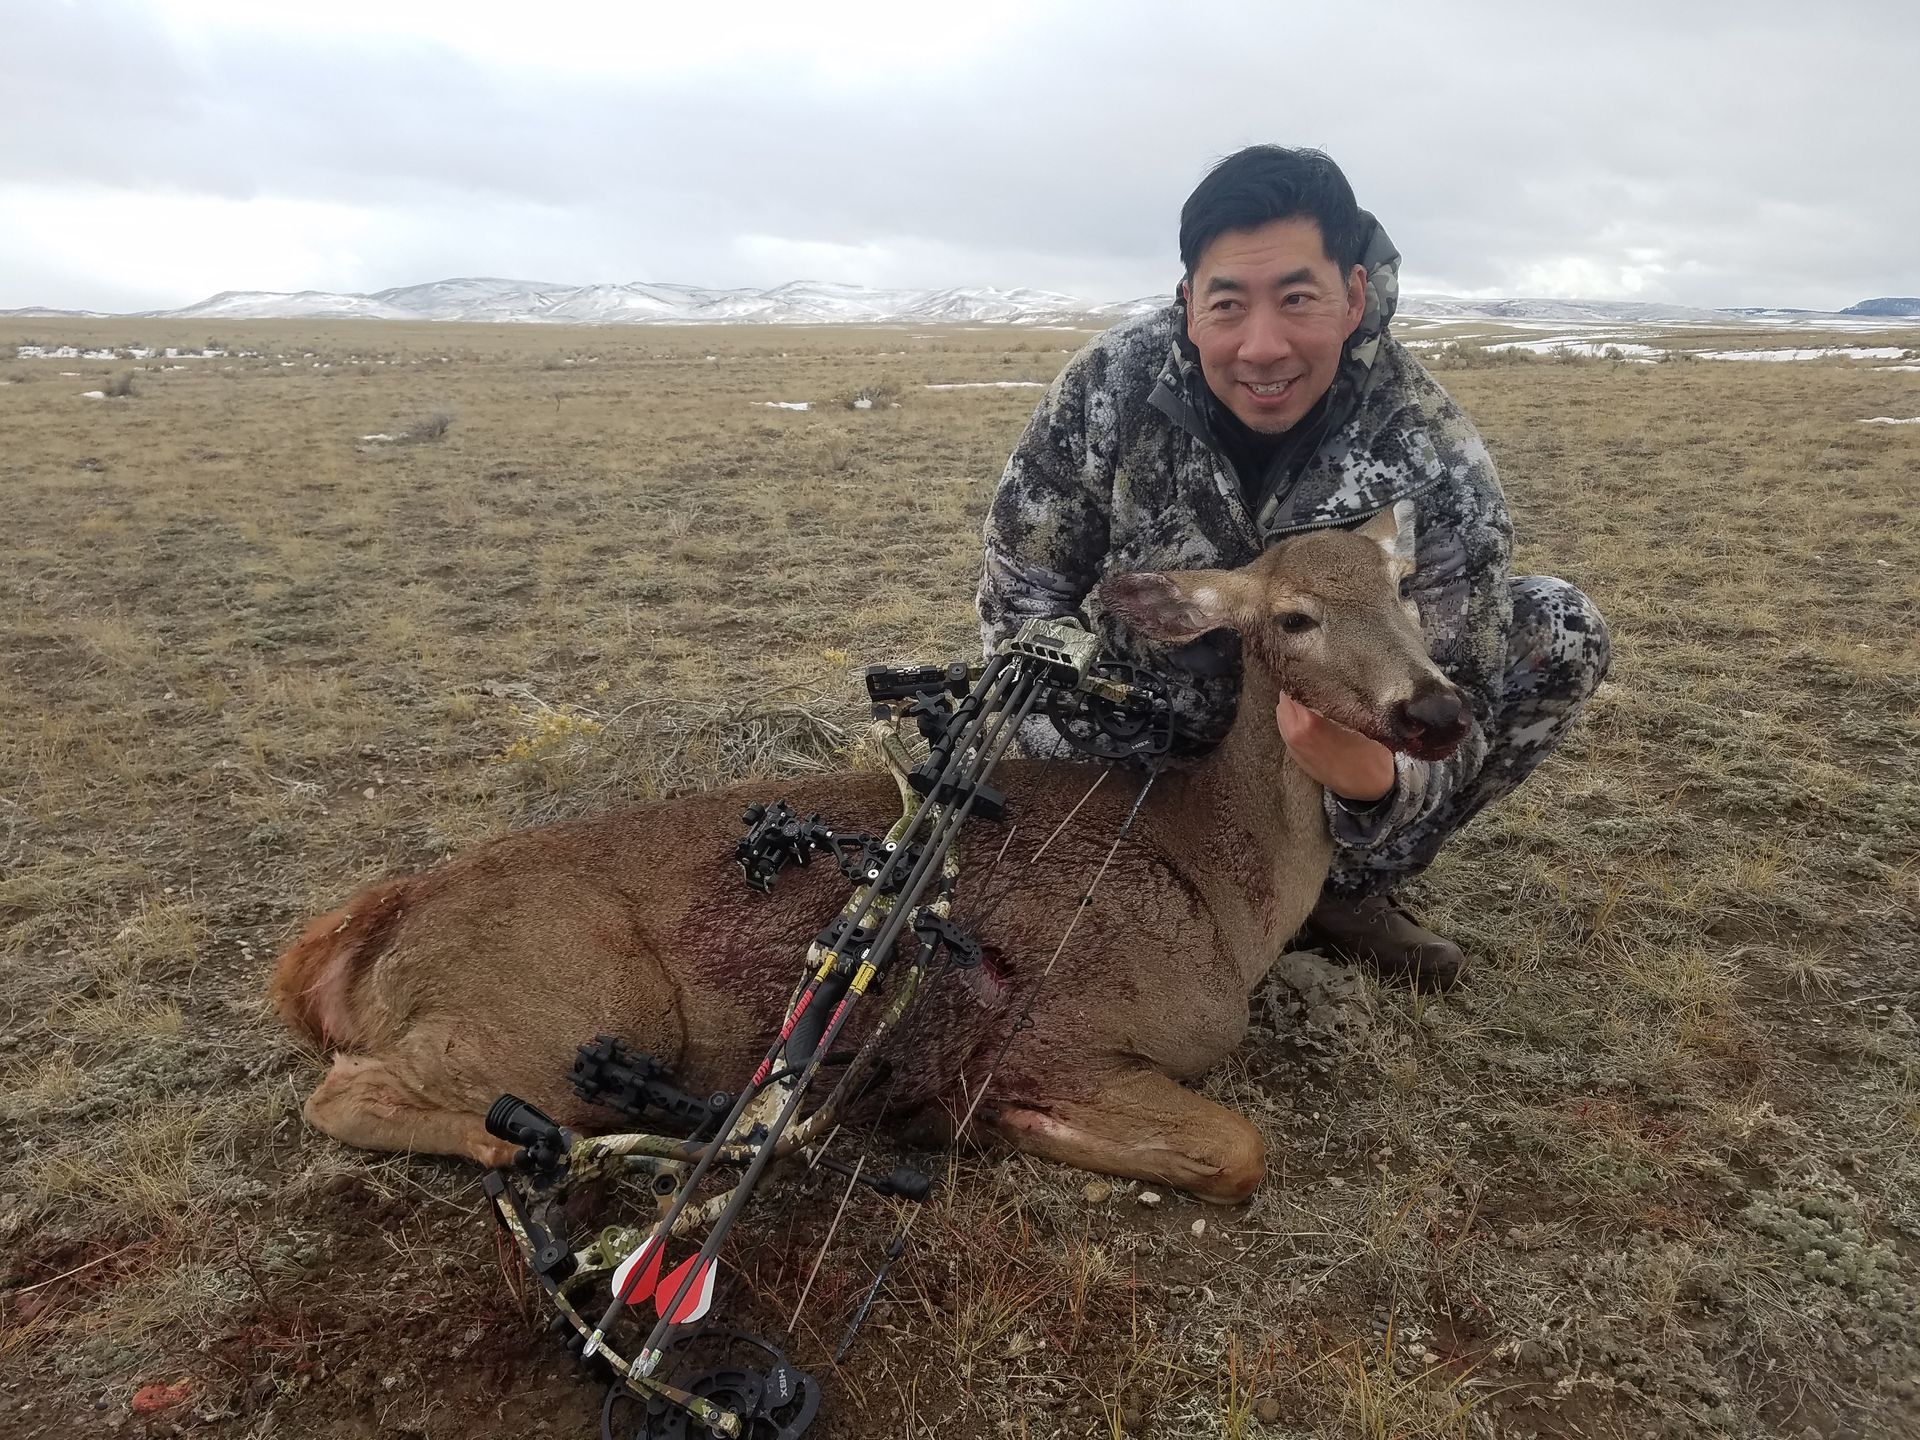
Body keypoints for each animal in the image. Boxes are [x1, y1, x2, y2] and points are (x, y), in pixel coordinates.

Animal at [268, 505, 1468, 1205]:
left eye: (1408, 596)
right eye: (1298, 616)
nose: (1438, 709)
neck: (1223, 885)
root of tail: (367, 928)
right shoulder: (1071, 1030)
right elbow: (1239, 1149)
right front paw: (989, 1121)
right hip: (571, 1011)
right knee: (344, 1097)